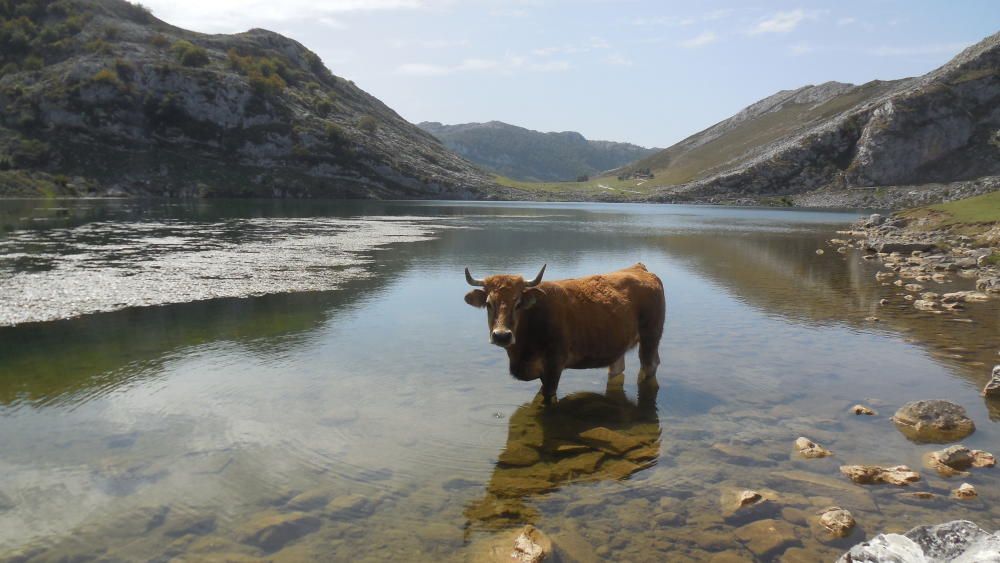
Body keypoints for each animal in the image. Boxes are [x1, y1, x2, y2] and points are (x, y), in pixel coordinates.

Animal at [466, 262, 668, 404]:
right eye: (489, 303)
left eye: (518, 304)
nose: (502, 335)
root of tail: (639, 268)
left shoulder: (554, 365)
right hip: (617, 342)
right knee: (617, 368)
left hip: (651, 336)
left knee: (650, 364)